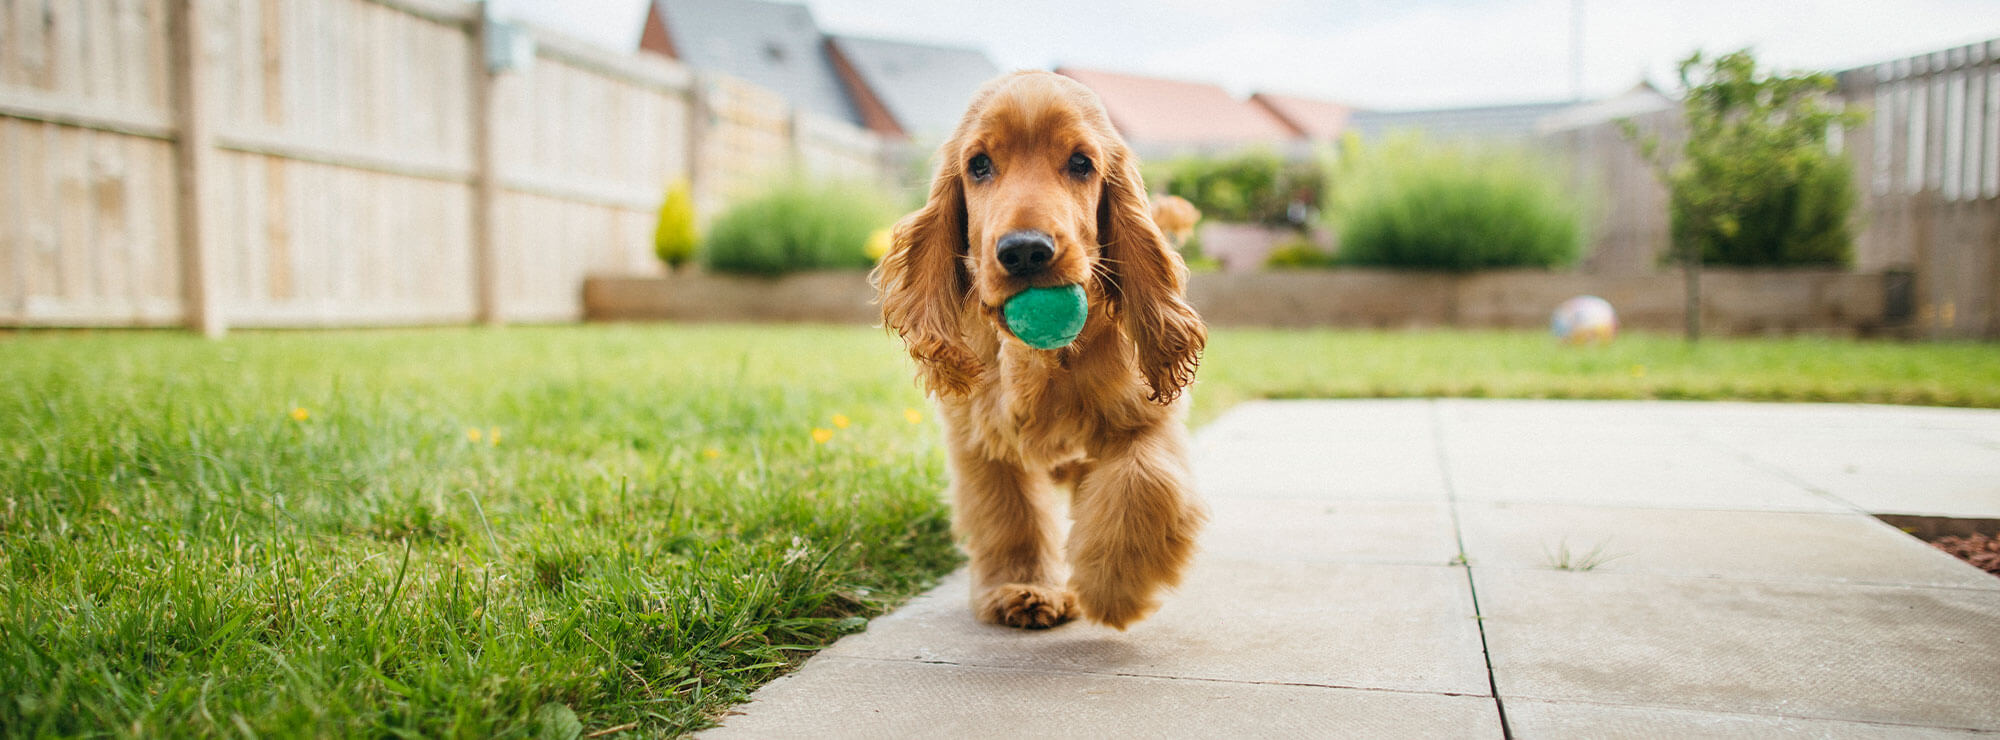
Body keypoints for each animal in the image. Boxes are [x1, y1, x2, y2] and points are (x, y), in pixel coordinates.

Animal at [872, 71, 1200, 632]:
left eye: (1081, 163)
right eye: (979, 165)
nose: (1025, 250)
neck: (1042, 358)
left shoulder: (1146, 418)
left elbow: (1144, 482)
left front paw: (1113, 585)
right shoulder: (981, 437)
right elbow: (1011, 513)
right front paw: (1024, 587)